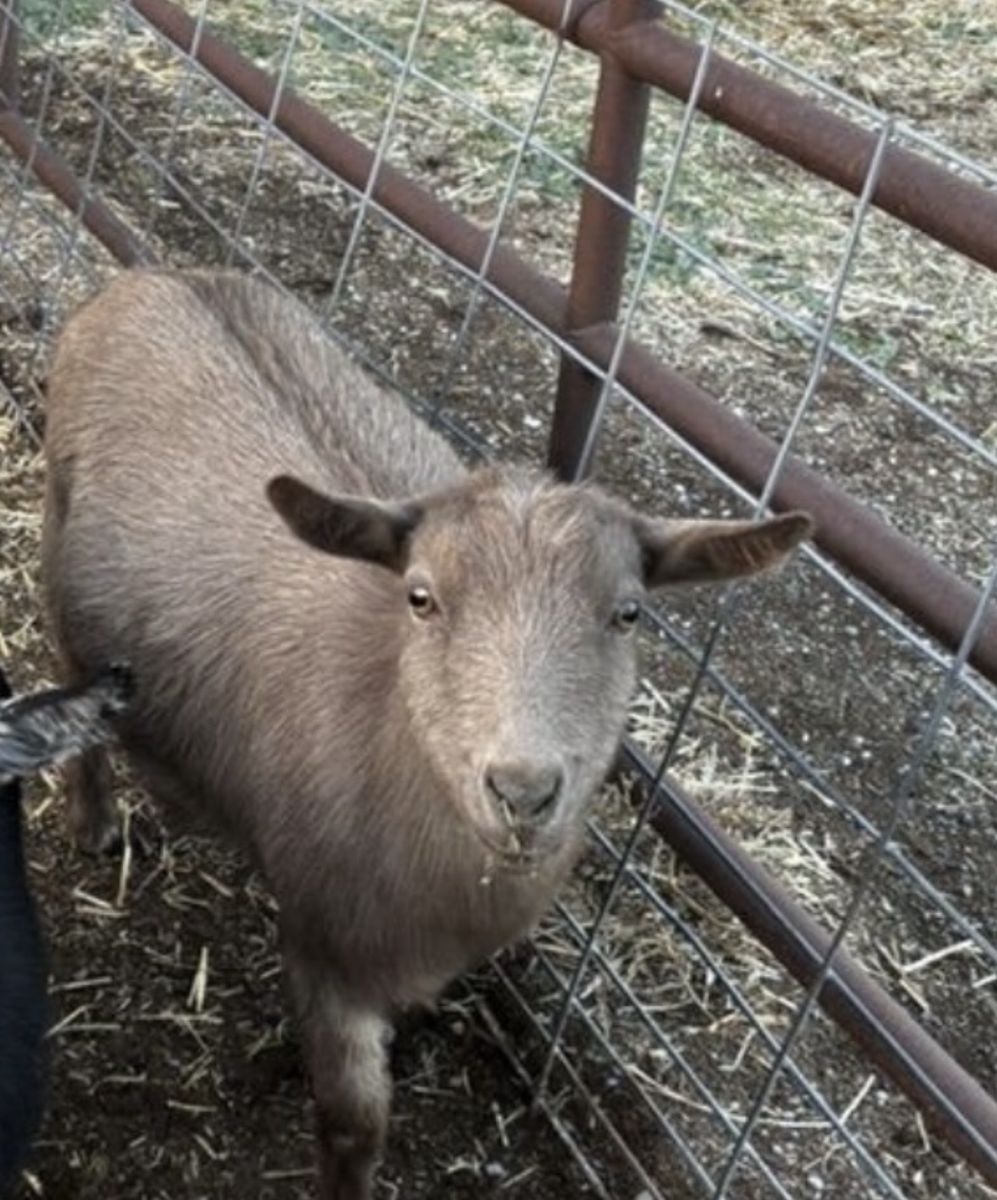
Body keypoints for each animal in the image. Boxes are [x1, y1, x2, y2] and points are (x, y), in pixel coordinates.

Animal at [40, 268, 813, 1199]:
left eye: (628, 612)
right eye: (421, 596)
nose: (523, 792)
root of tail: (153, 276)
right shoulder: (322, 943)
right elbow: (353, 1124)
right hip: (54, 533)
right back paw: (95, 823)